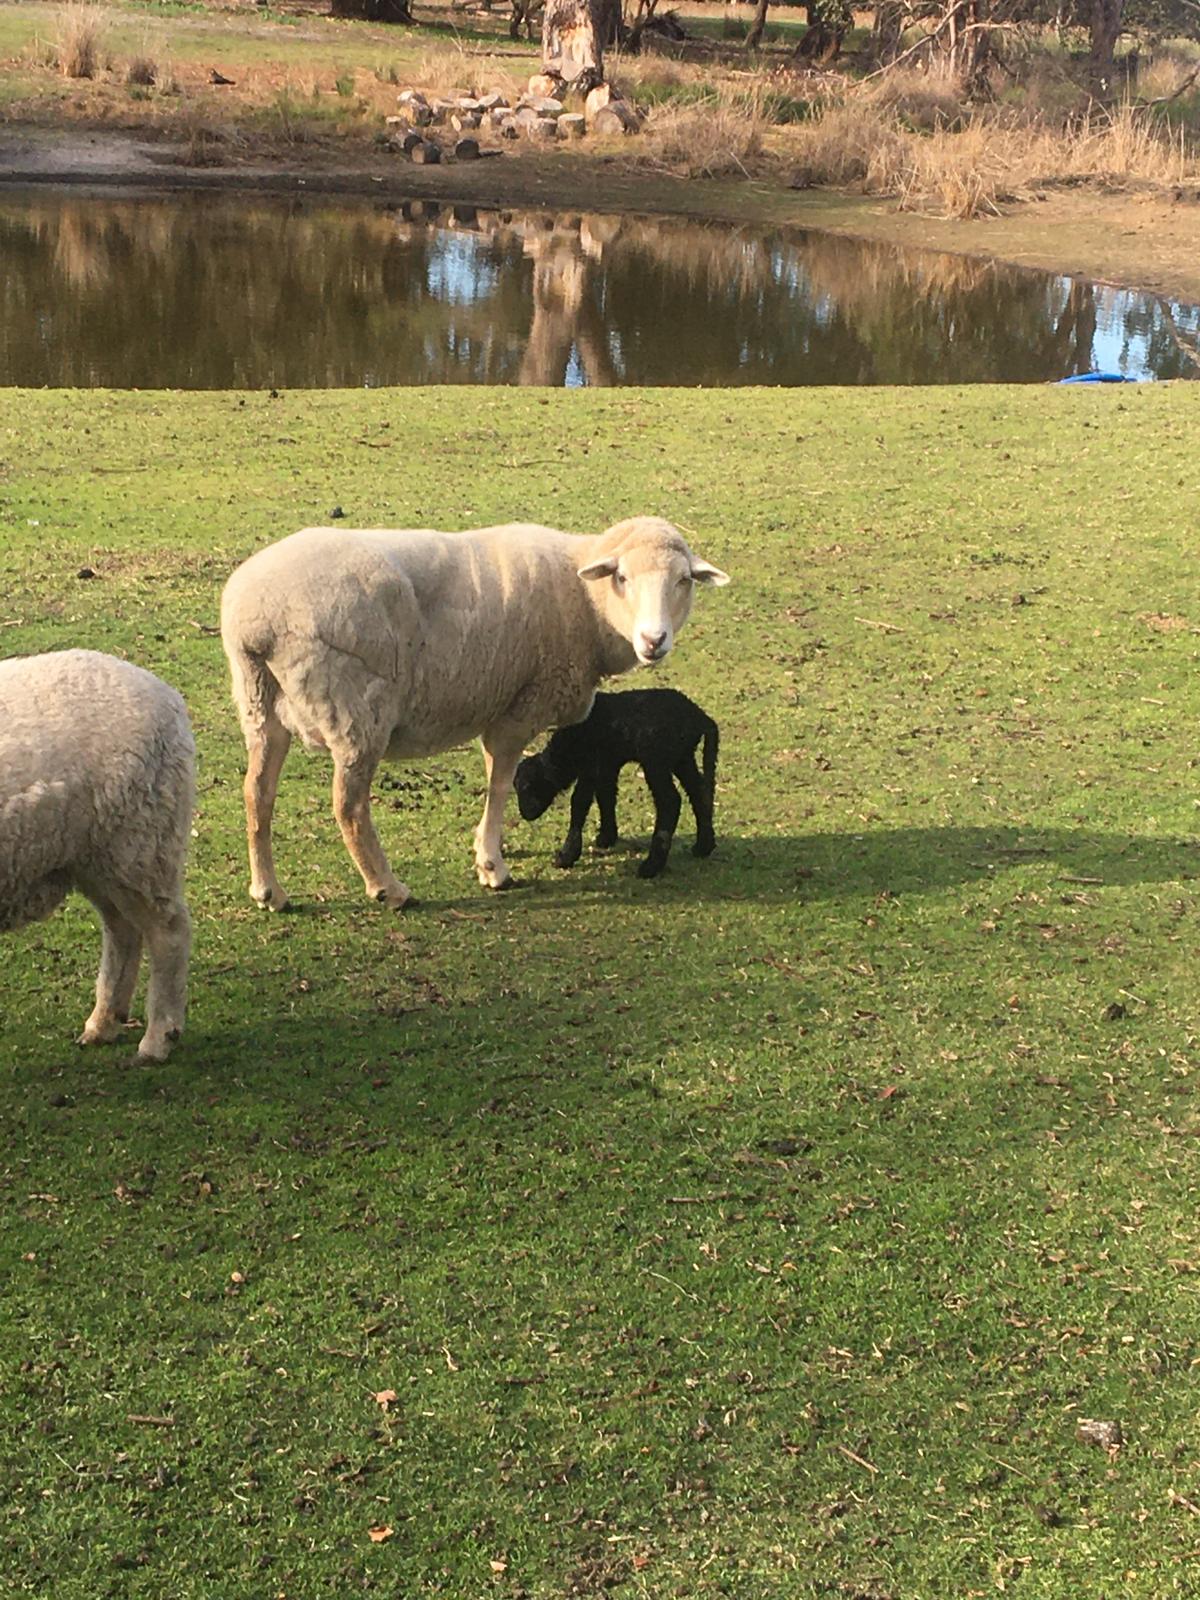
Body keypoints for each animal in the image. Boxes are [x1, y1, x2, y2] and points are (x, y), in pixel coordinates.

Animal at [0, 649, 195, 1062]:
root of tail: (169, 697)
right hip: (95, 856)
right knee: (123, 930)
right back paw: (104, 1022)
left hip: (140, 843)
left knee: (168, 931)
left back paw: (158, 1038)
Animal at [515, 688, 718, 878]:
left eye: (527, 787)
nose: (526, 814)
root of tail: (699, 717)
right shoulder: (607, 765)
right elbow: (606, 796)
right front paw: (607, 837)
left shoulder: (591, 765)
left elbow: (579, 802)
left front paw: (566, 855)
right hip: (682, 757)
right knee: (698, 792)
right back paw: (703, 846)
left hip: (656, 759)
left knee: (670, 801)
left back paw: (651, 865)